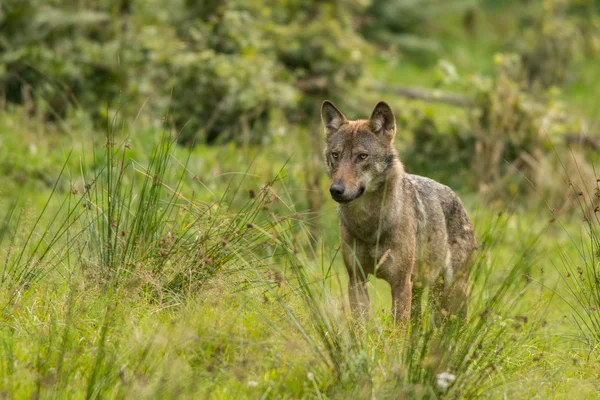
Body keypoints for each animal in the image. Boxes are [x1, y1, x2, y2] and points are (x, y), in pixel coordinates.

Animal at [322, 100, 476, 322]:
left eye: (362, 156)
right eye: (336, 155)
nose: (336, 190)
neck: (369, 224)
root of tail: (458, 199)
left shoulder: (400, 284)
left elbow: (397, 329)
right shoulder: (356, 280)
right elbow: (360, 325)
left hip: (452, 292)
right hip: (421, 290)